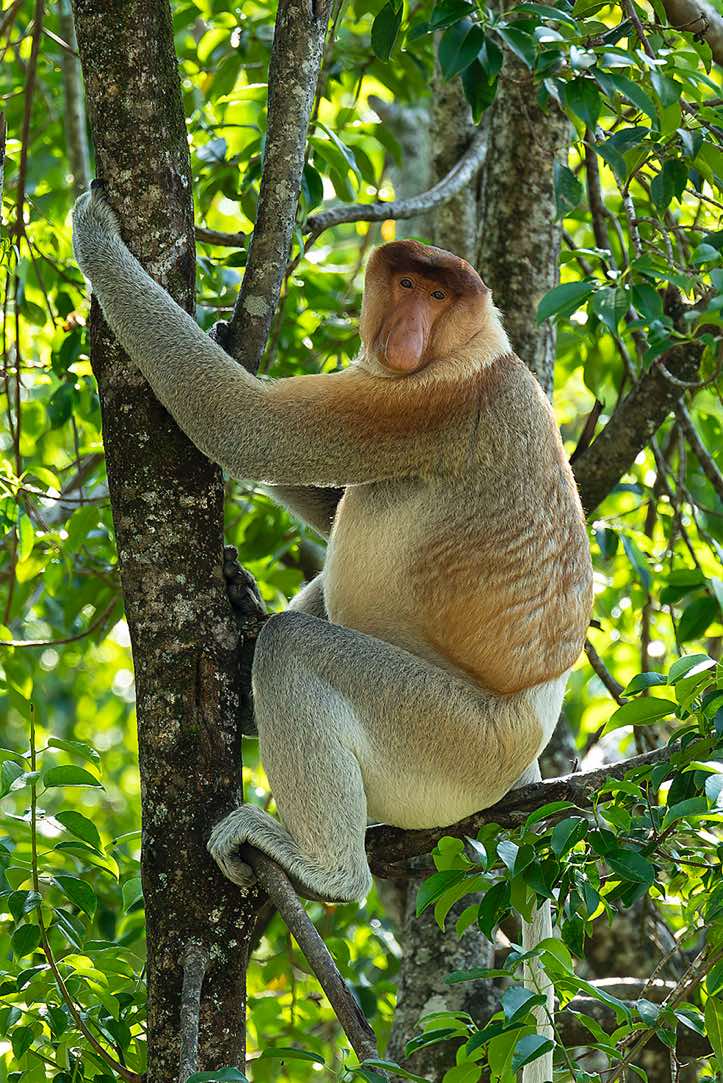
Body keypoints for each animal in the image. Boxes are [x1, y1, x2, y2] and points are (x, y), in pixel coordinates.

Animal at [72, 185, 593, 1083]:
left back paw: (322, 864)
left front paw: (95, 233)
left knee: (299, 649)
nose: (406, 330)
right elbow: (315, 483)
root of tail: (526, 742)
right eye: (408, 283)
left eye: (440, 294)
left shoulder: (428, 401)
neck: (478, 346)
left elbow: (246, 425)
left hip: (451, 740)